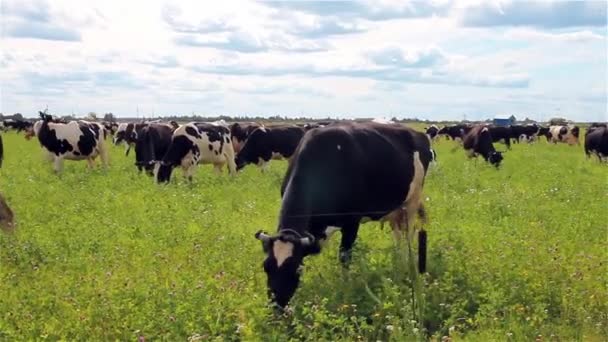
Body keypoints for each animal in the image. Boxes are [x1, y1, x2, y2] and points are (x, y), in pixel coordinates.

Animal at [254, 121, 434, 308]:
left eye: (296, 268)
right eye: (266, 266)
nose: (277, 307)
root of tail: (417, 134)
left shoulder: (352, 222)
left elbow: (344, 257)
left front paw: (345, 287)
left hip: (412, 202)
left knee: (408, 235)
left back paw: (407, 264)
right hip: (396, 209)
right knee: (398, 235)